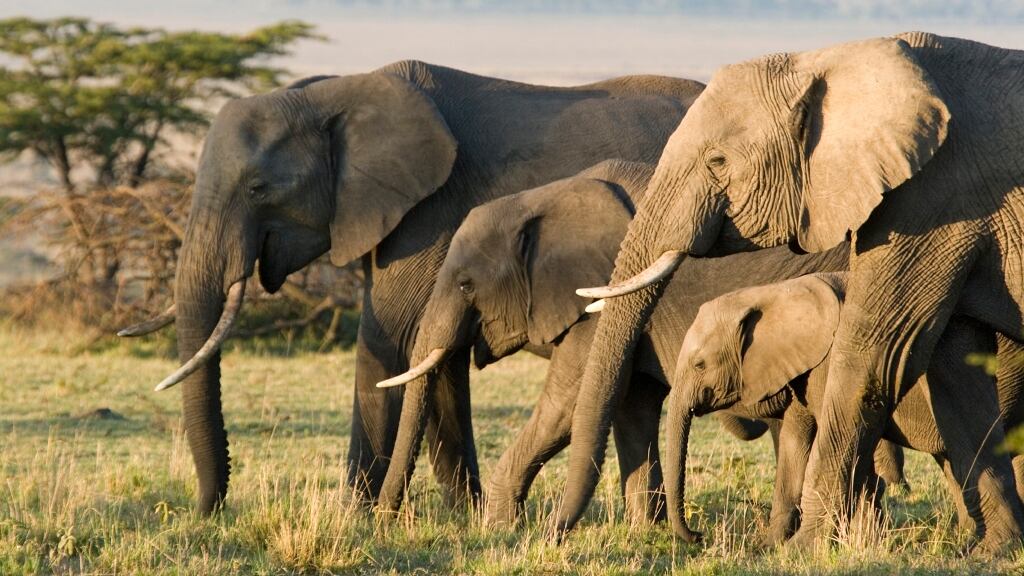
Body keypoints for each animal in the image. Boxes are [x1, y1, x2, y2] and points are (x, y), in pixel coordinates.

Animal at [120, 61, 706, 514]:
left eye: (258, 189)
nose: (207, 511)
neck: (334, 93)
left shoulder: (428, 212)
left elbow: (391, 341)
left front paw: (354, 518)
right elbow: (435, 358)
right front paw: (462, 516)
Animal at [377, 159, 905, 523]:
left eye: (466, 285)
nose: (385, 519)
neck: (547, 197)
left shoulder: (598, 303)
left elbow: (568, 407)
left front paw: (501, 528)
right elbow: (632, 409)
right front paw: (644, 530)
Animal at [666, 272, 1024, 551]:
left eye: (700, 365)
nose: (698, 535)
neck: (774, 292)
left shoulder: (831, 362)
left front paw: (861, 543)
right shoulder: (803, 367)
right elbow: (795, 444)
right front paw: (769, 547)